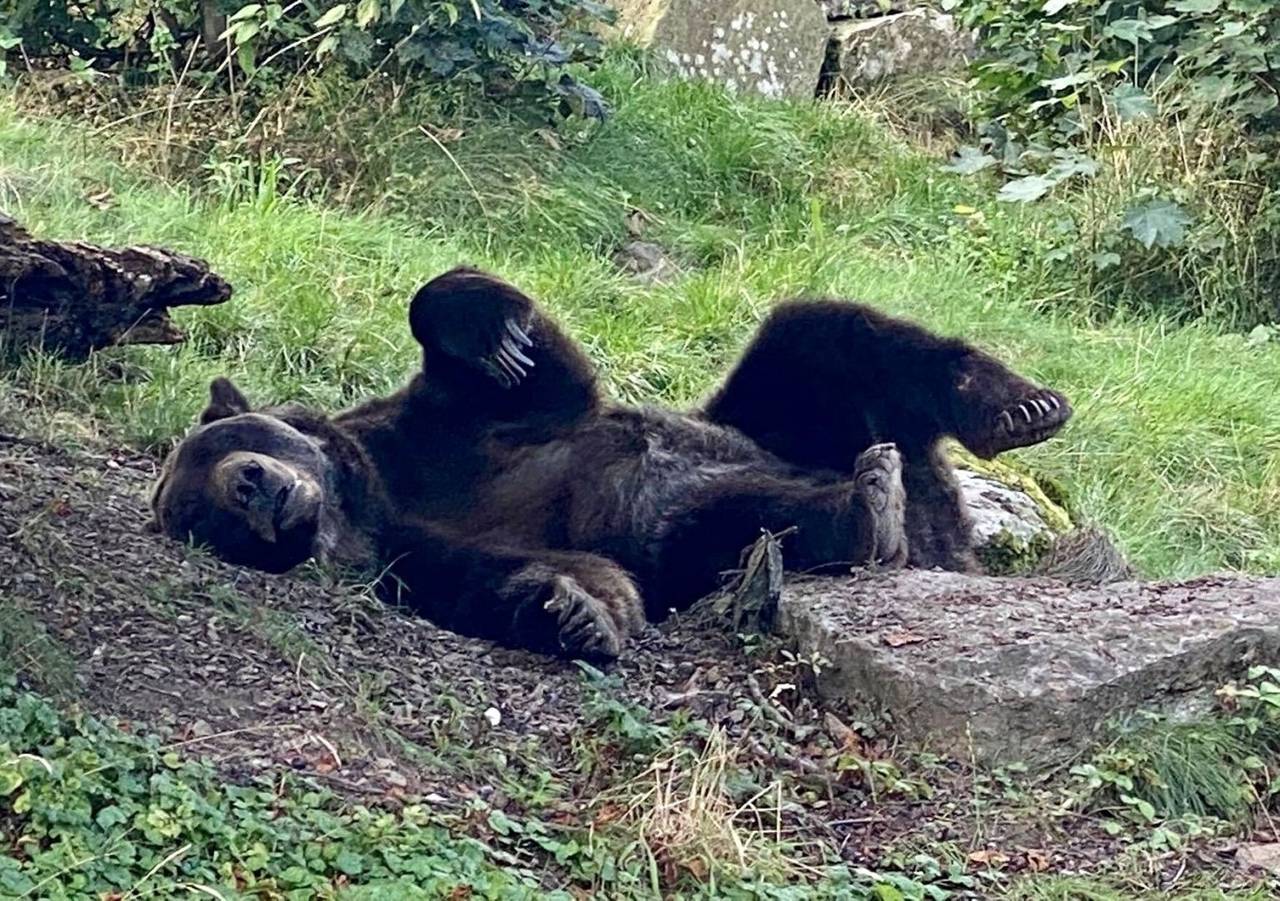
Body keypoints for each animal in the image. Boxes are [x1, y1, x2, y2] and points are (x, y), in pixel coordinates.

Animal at [150, 267, 1071, 660]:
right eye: (197, 510)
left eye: (236, 439)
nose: (249, 487)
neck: (368, 489)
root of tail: (947, 534)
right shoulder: (414, 553)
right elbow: (538, 573)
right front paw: (574, 615)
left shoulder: (450, 429)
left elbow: (529, 366)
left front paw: (491, 329)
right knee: (712, 521)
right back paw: (870, 510)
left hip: (792, 414)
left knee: (827, 334)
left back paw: (1019, 408)